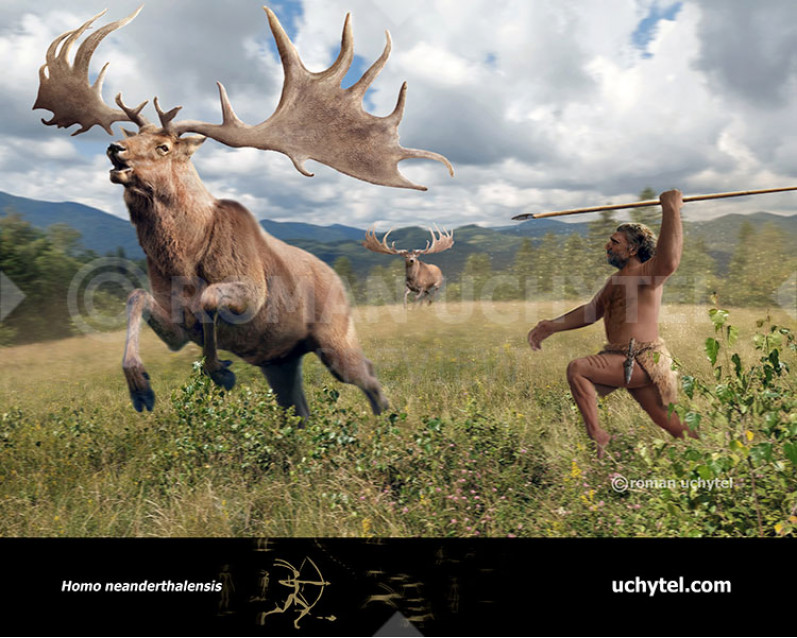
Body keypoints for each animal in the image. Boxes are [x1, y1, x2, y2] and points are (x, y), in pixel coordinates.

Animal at [33, 6, 453, 419]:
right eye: (132, 136)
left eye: (164, 146)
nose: (114, 149)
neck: (184, 260)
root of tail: (337, 281)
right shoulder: (175, 325)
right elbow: (136, 297)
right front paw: (140, 387)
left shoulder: (251, 290)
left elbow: (209, 300)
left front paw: (219, 370)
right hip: (280, 361)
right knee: (300, 408)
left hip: (336, 335)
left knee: (369, 376)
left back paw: (387, 424)